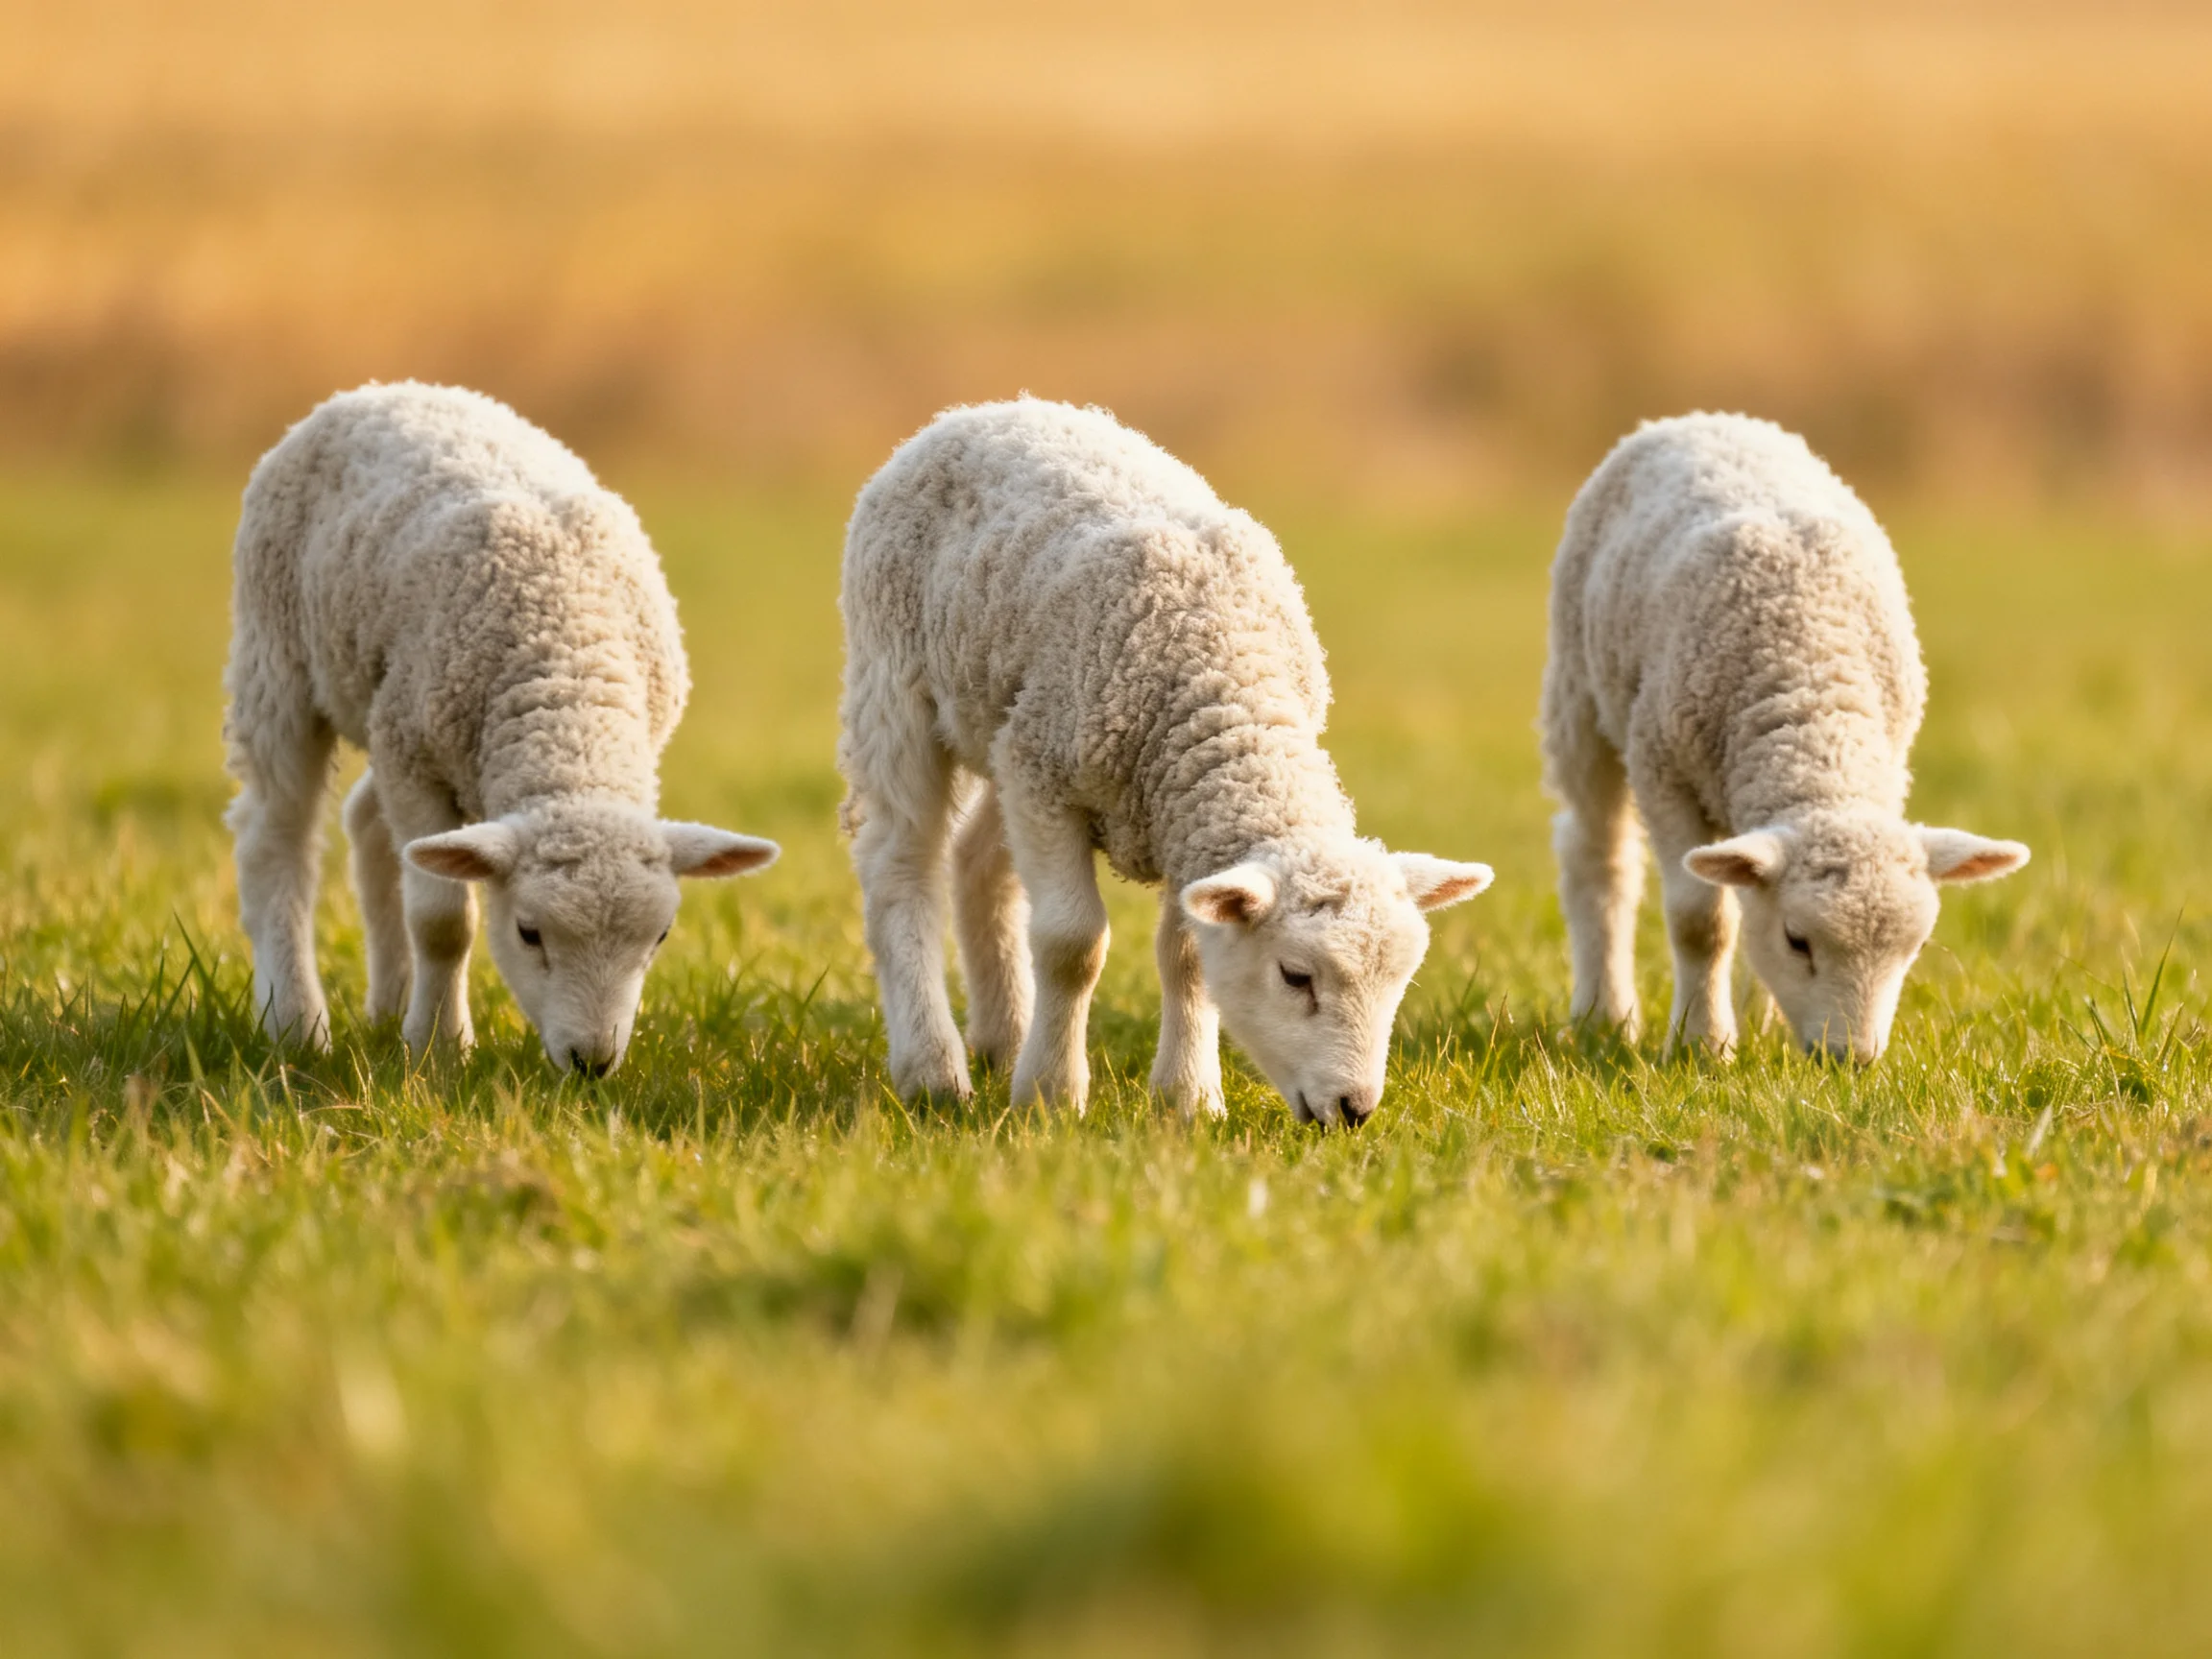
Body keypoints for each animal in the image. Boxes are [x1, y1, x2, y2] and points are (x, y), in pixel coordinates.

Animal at [222, 381, 778, 1074]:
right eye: (529, 933)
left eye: (660, 937)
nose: (592, 1064)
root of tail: (383, 389)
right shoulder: (415, 758)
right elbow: (442, 921)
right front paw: (439, 1047)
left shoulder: (411, 740)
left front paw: (420, 1030)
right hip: (278, 656)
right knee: (275, 838)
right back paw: (296, 1025)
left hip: (386, 707)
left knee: (368, 824)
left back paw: (388, 1008)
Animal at [837, 397, 1493, 1124]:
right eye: (1296, 976)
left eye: (1400, 980)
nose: (1354, 1109)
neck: (1225, 682)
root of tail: (989, 408)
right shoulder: (1049, 776)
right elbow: (1071, 943)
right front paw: (1052, 1098)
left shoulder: (1171, 810)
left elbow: (1188, 958)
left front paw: (1188, 1100)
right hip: (896, 680)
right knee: (899, 867)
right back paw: (932, 1070)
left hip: (1004, 724)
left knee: (976, 861)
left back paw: (1002, 1040)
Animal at [1540, 412, 2029, 1063]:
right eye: (1798, 940)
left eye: (1917, 949)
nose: (1852, 1060)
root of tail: (1702, 418)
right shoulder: (1662, 765)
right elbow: (1700, 922)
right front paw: (1703, 1044)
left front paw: (1763, 1025)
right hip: (1579, 694)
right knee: (1597, 858)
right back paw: (1605, 1015)